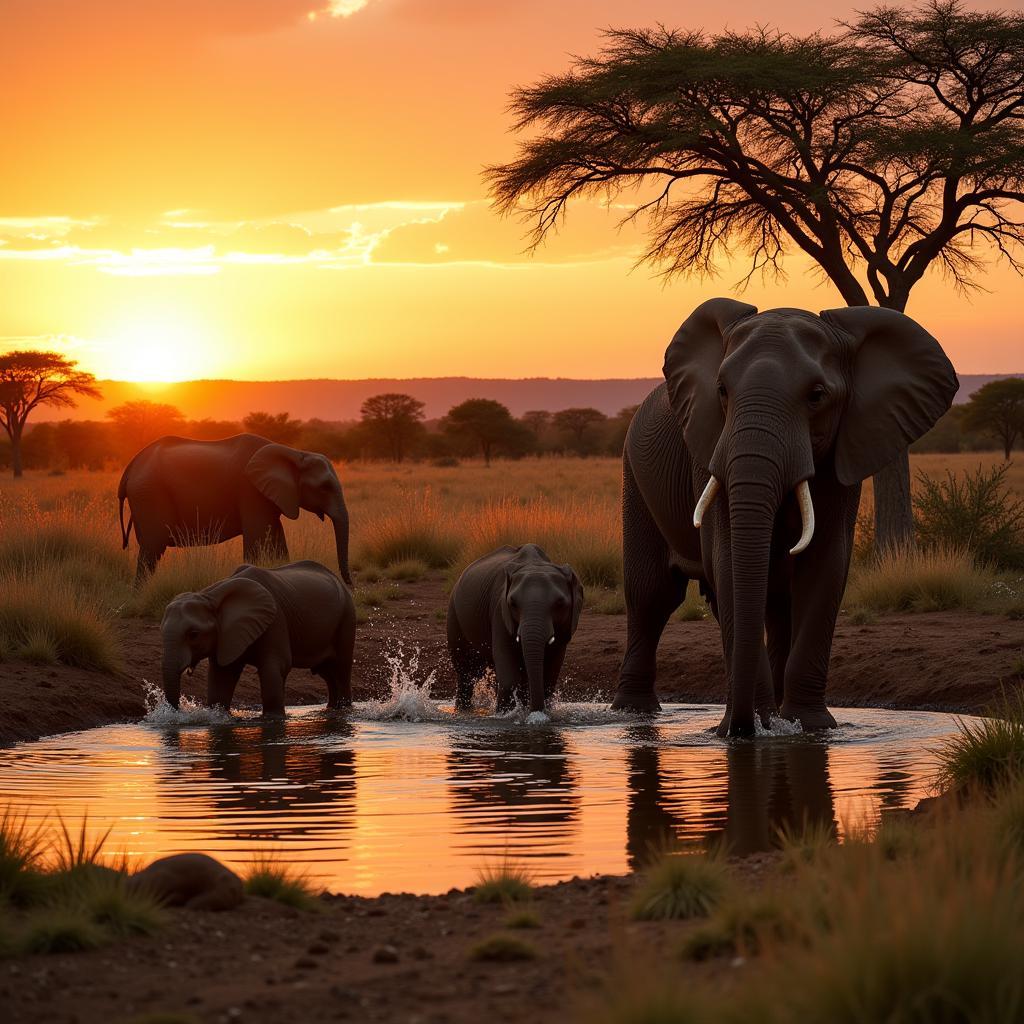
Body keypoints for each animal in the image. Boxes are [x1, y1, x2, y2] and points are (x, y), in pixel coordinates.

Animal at [117, 432, 352, 585]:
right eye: (325, 487)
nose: (348, 584)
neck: (294, 453)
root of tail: (130, 467)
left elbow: (277, 541)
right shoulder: (250, 491)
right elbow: (257, 542)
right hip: (149, 494)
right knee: (152, 549)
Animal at [157, 557, 354, 716]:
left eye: (193, 635)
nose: (178, 711)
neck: (211, 596)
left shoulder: (275, 620)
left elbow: (275, 668)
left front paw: (273, 719)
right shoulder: (225, 636)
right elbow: (221, 677)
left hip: (346, 616)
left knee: (341, 670)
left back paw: (343, 710)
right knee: (327, 673)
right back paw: (331, 709)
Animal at [448, 540, 585, 716]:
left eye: (560, 603)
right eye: (513, 603)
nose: (536, 712)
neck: (535, 564)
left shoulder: (567, 624)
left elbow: (548, 678)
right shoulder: (499, 611)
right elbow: (509, 679)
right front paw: (504, 715)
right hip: (454, 614)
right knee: (466, 673)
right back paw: (463, 711)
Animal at [614, 296, 958, 737]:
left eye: (817, 395)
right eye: (721, 391)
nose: (739, 729)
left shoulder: (847, 450)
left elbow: (825, 565)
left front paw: (809, 727)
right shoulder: (708, 448)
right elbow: (727, 561)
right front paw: (756, 729)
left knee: (773, 602)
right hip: (634, 475)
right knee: (653, 595)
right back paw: (635, 714)